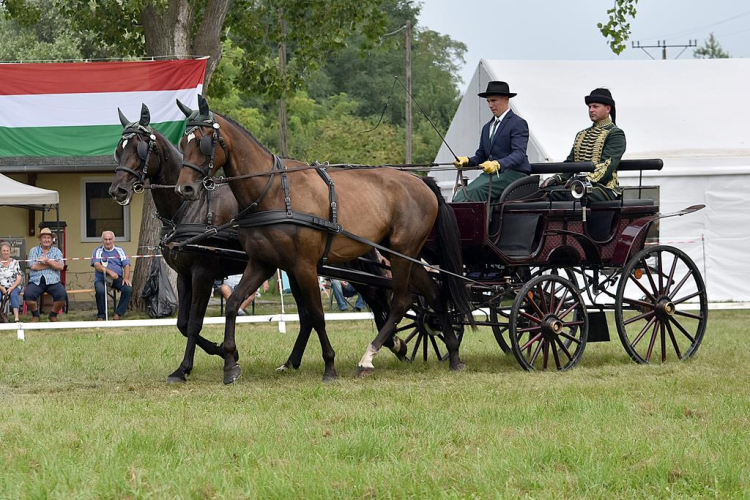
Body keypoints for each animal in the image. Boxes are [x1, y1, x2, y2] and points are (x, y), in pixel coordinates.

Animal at [110, 102, 400, 382]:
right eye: (118, 150)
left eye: (140, 148)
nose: (117, 190)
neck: (189, 209)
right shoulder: (183, 275)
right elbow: (182, 324)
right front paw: (220, 353)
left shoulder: (202, 273)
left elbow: (193, 323)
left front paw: (187, 367)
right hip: (298, 268)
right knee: (308, 315)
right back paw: (293, 362)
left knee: (375, 296)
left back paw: (393, 344)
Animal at [173, 95, 472, 382]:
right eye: (182, 141)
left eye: (204, 142)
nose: (184, 189)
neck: (274, 192)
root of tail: (421, 182)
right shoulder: (262, 263)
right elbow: (234, 304)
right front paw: (230, 363)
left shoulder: (303, 265)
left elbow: (317, 315)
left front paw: (329, 366)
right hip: (401, 254)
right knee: (433, 294)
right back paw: (453, 354)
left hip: (402, 252)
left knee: (400, 301)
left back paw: (369, 357)